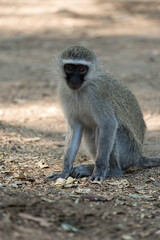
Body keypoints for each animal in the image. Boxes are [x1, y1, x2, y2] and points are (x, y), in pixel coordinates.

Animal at [48, 45, 160, 181]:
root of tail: (138, 156)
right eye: (69, 68)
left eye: (82, 69)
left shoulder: (97, 95)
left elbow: (109, 124)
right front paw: (64, 171)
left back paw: (112, 171)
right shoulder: (64, 91)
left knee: (106, 130)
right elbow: (76, 127)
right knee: (90, 130)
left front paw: (99, 171)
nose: (74, 79)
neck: (82, 89)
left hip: (128, 151)